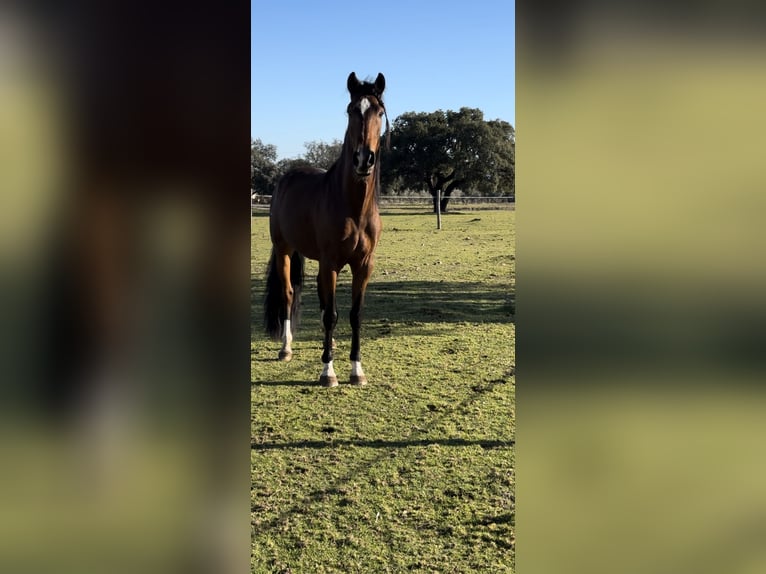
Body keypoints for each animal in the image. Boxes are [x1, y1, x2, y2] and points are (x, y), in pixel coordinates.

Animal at [268, 71, 392, 388]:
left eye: (379, 111)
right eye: (351, 110)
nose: (364, 159)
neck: (351, 205)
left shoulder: (364, 265)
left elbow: (354, 315)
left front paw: (356, 370)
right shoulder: (331, 263)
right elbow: (330, 316)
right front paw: (328, 372)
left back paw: (330, 345)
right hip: (285, 250)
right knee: (289, 294)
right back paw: (286, 348)